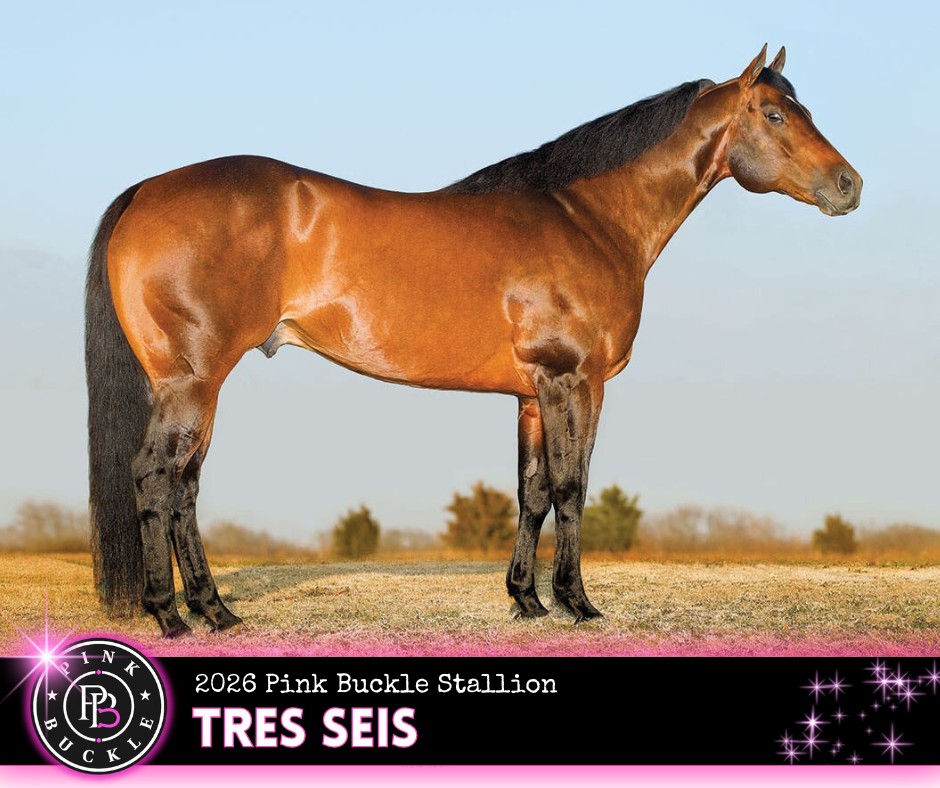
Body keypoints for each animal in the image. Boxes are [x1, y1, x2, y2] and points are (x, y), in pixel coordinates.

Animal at [85, 46, 861, 637]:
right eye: (775, 114)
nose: (849, 185)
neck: (588, 218)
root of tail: (146, 191)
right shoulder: (574, 380)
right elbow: (573, 487)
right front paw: (578, 604)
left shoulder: (532, 394)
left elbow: (532, 491)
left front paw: (527, 601)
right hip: (192, 381)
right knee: (155, 478)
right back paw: (172, 617)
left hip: (199, 387)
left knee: (184, 487)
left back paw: (216, 612)